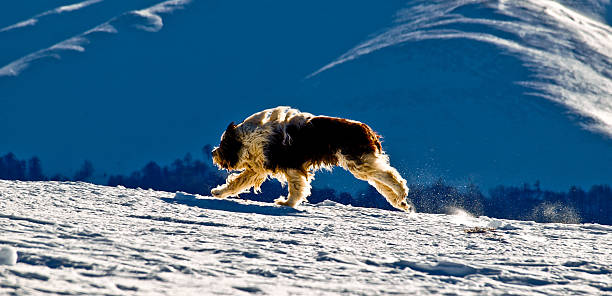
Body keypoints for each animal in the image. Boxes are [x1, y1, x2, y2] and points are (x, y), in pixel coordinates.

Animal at [208, 106, 414, 213]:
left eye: (223, 144)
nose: (212, 153)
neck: (250, 138)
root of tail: (367, 129)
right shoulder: (257, 169)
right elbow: (236, 183)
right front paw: (218, 192)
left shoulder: (291, 167)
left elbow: (297, 189)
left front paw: (287, 204)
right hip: (362, 164)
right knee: (383, 180)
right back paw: (400, 202)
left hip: (359, 162)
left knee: (390, 175)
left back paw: (401, 193)